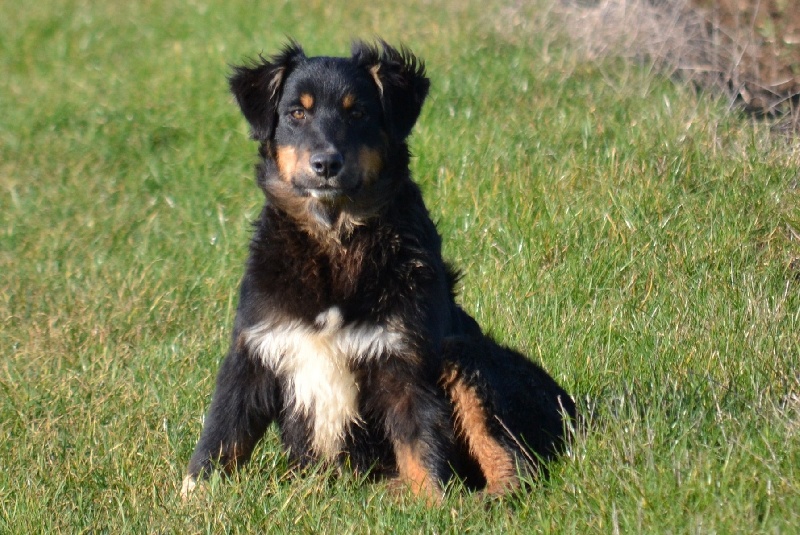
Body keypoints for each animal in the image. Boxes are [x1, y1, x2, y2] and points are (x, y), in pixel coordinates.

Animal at [183, 39, 576, 500]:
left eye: (358, 113)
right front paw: (192, 499)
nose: (326, 164)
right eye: (296, 113)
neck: (336, 240)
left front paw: (435, 507)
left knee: (512, 461)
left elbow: (421, 445)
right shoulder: (253, 350)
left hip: (466, 356)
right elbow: (221, 436)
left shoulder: (403, 359)